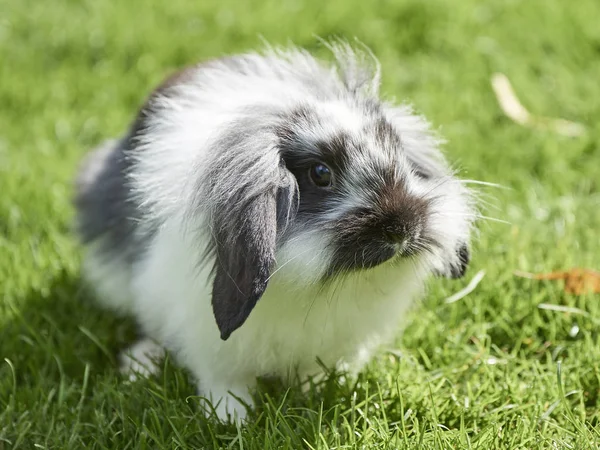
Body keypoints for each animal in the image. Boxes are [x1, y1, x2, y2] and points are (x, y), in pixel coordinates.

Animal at [75, 42, 476, 422]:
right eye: (320, 174)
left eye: (399, 154)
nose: (402, 229)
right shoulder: (209, 341)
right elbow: (222, 379)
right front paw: (229, 418)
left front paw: (322, 389)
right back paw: (141, 363)